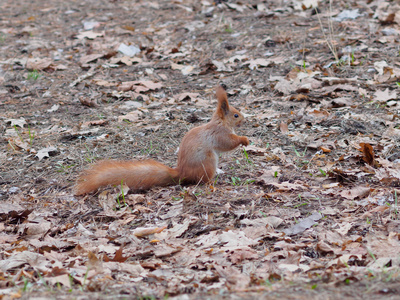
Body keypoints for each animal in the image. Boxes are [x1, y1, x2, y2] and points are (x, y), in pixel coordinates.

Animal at [74, 85, 248, 196]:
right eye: (236, 115)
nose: (244, 120)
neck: (221, 122)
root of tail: (181, 173)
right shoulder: (219, 134)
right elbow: (228, 143)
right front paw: (244, 139)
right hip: (208, 161)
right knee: (202, 180)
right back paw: (213, 182)